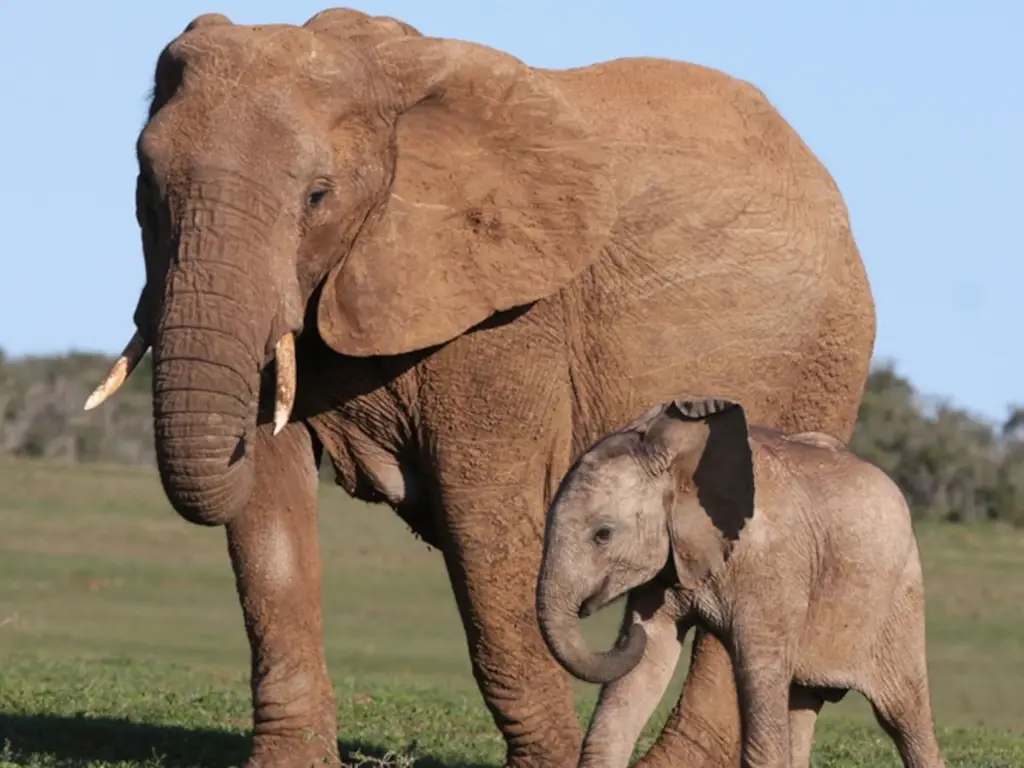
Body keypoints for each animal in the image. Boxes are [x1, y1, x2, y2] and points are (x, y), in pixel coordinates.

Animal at [83, 7, 876, 768]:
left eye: (317, 196)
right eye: (145, 190)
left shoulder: (510, 317)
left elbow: (485, 524)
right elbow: (268, 512)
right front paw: (289, 764)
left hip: (823, 362)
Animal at [536, 399, 942, 765]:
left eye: (603, 534)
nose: (624, 633)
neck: (678, 457)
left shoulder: (770, 567)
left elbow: (758, 679)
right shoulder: (670, 561)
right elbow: (646, 663)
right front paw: (643, 636)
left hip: (901, 597)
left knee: (904, 715)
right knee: (802, 703)